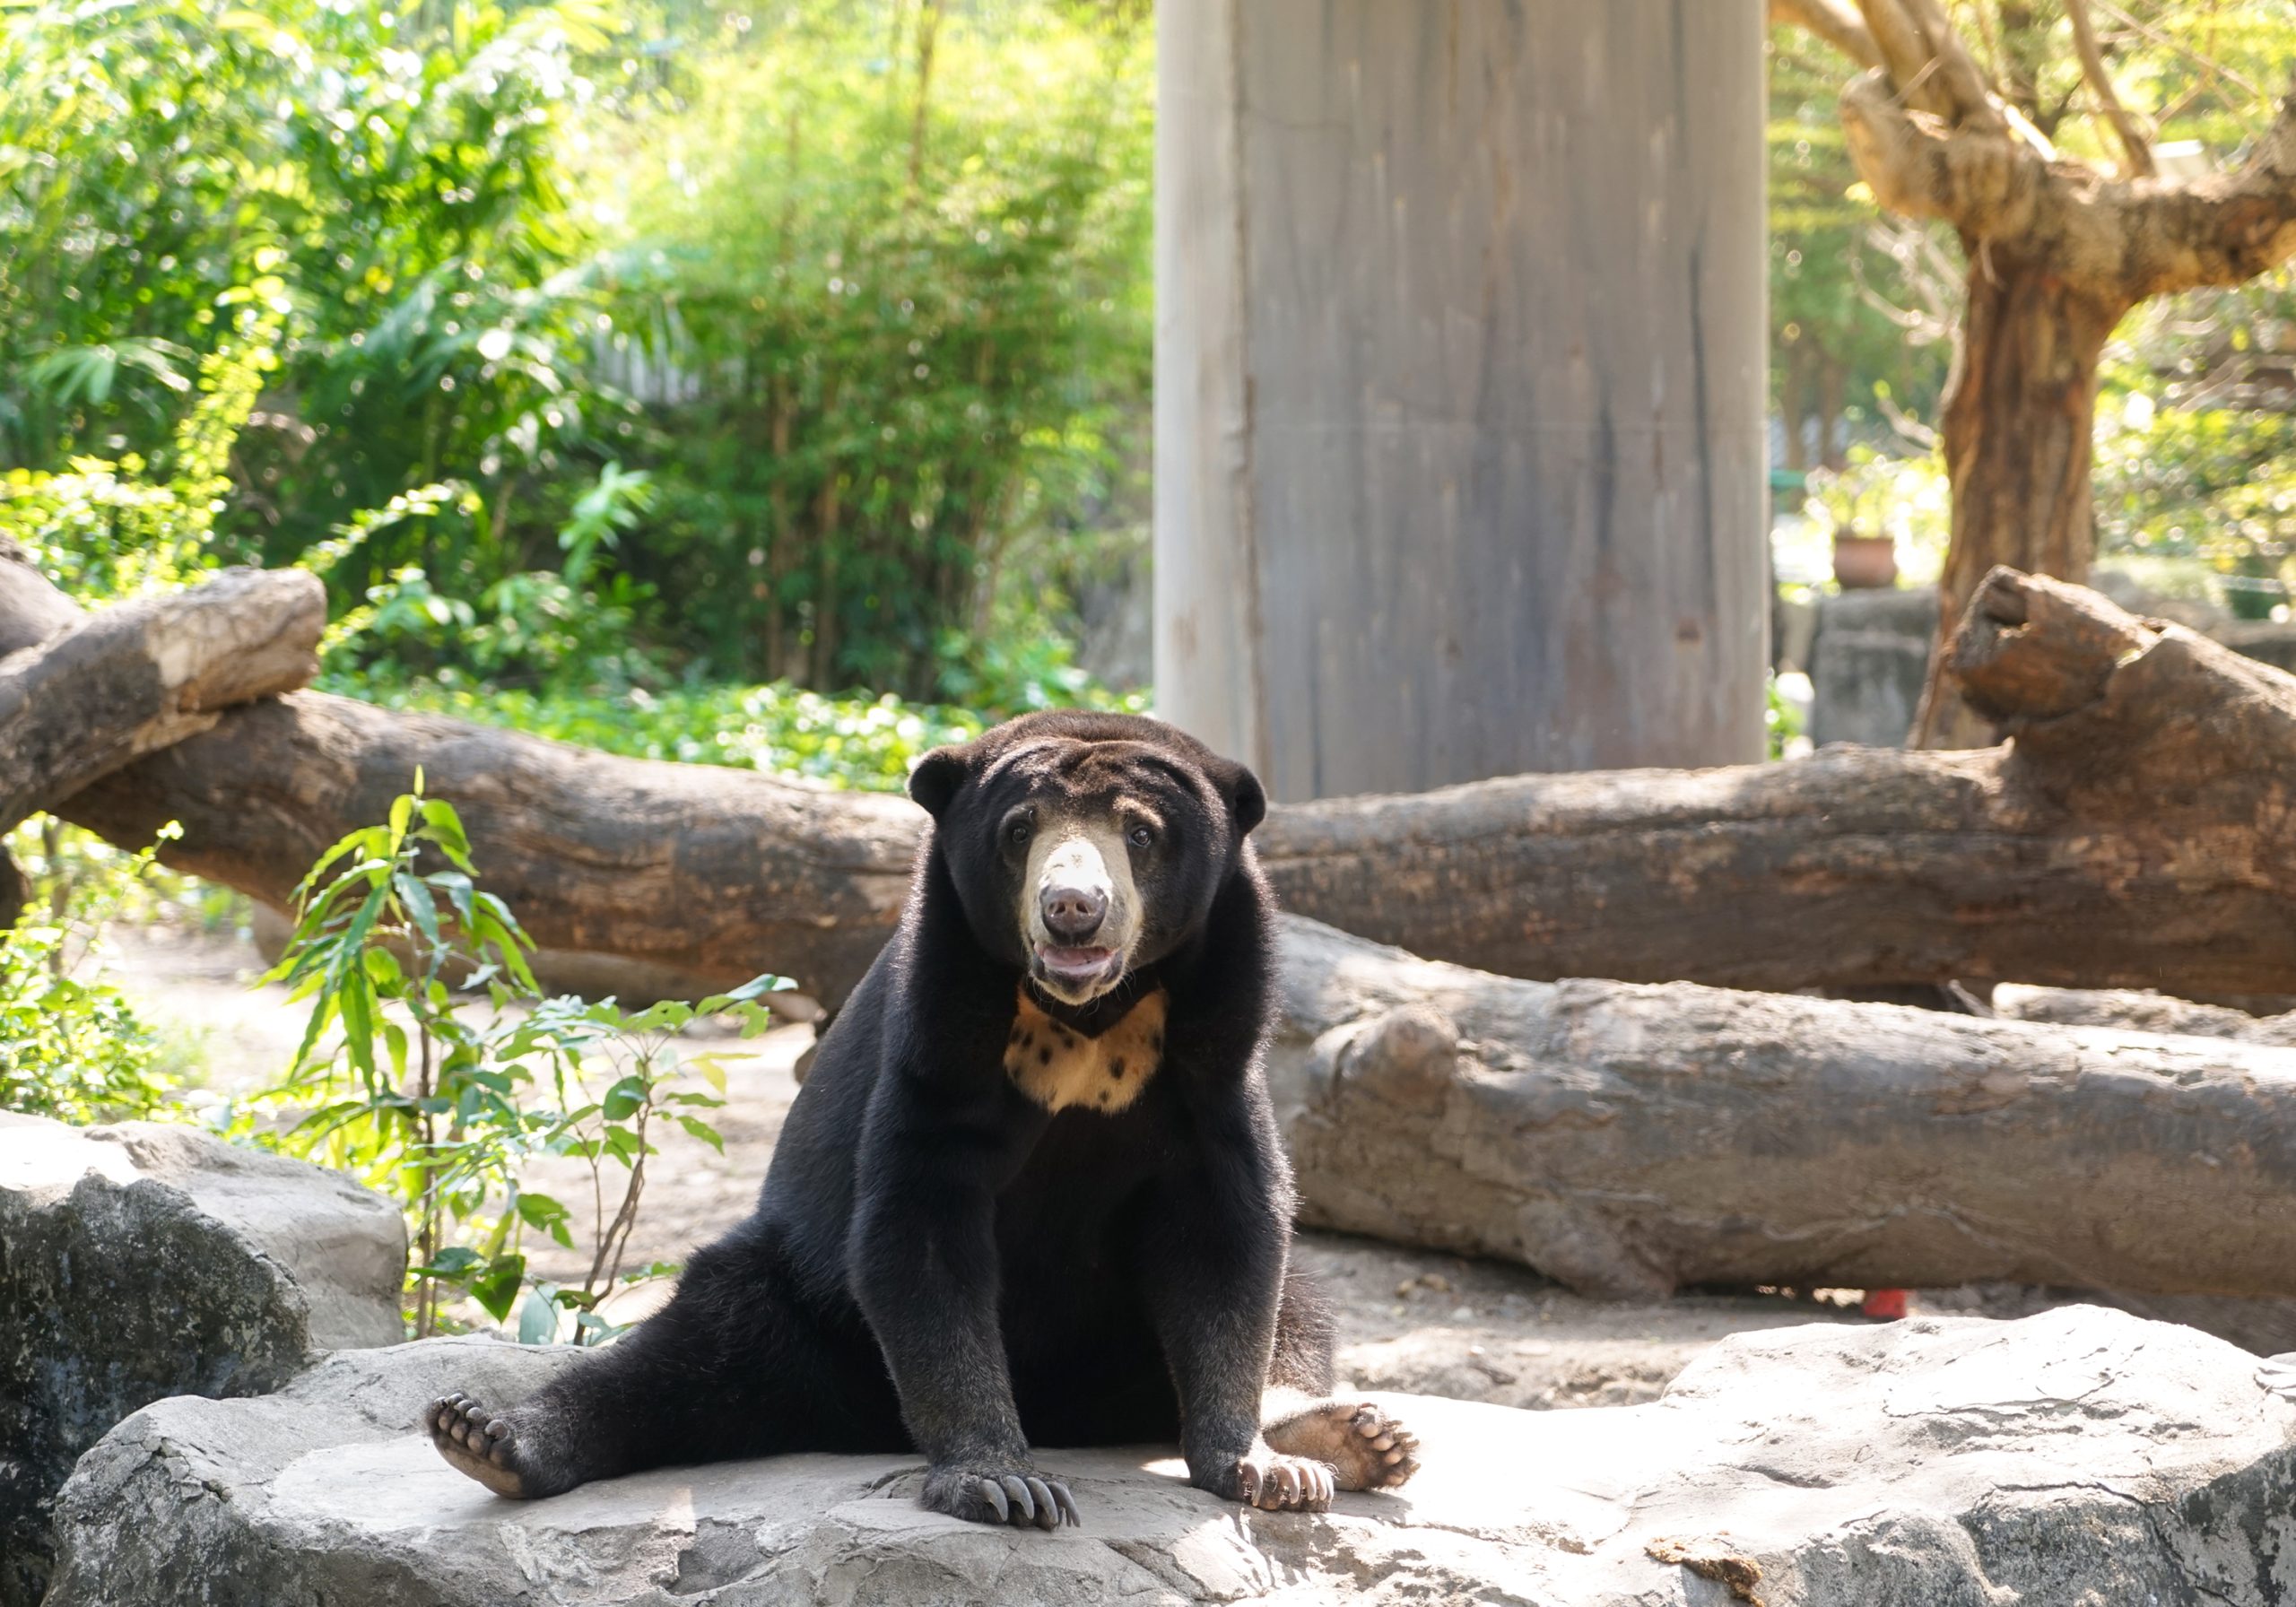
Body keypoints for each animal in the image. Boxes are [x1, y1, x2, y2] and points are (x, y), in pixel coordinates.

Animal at [425, 709, 1418, 1527]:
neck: (1088, 1020)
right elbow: (921, 1228)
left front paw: (1255, 1467)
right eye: (1021, 830)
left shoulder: (1215, 1055)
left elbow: (1227, 1242)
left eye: (1141, 832)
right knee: (692, 1355)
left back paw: (1351, 1441)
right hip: (799, 1298)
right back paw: (489, 1437)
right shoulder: (940, 1036)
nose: (1072, 910)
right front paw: (1003, 1482)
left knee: (1301, 1307)